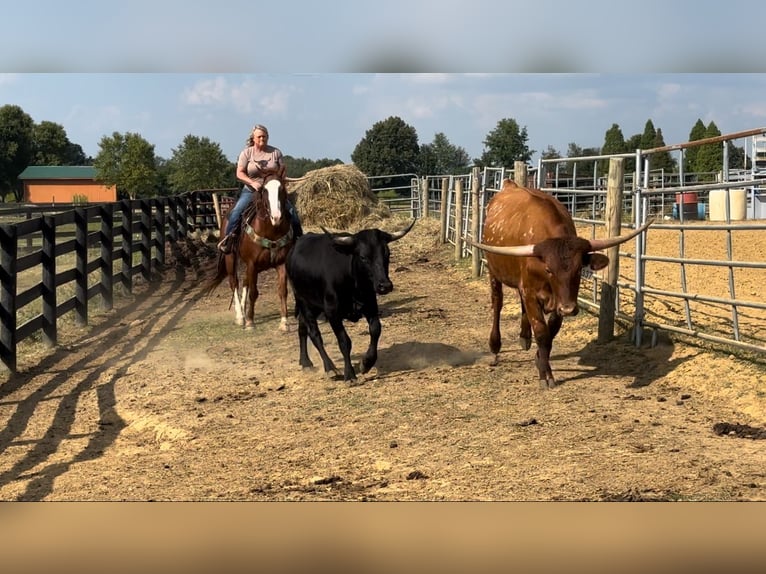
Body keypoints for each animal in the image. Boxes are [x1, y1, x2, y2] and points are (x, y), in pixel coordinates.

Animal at [201, 178, 296, 332]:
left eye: (282, 189)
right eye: (264, 190)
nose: (276, 217)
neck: (271, 231)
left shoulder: (280, 263)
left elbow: (283, 291)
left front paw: (284, 323)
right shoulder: (252, 263)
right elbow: (253, 293)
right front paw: (250, 322)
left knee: (245, 281)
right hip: (230, 258)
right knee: (234, 283)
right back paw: (240, 316)